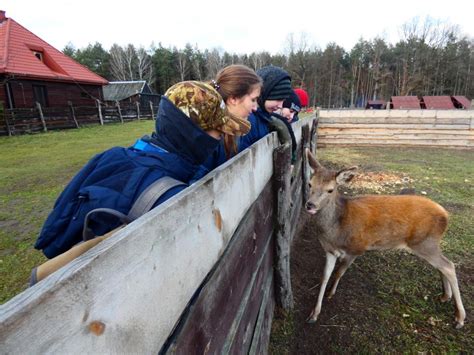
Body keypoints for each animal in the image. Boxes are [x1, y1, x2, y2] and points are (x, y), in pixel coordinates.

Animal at [304, 149, 466, 330]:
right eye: (310, 184)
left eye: (330, 190)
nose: (310, 205)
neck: (337, 230)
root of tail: (446, 215)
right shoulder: (329, 250)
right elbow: (324, 276)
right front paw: (314, 314)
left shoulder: (357, 248)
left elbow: (339, 272)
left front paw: (331, 293)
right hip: (429, 243)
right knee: (443, 264)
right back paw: (445, 296)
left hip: (425, 242)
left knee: (449, 266)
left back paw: (460, 317)